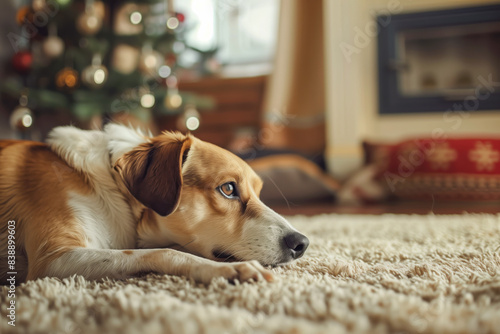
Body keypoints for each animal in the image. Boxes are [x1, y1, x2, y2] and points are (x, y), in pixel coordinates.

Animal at [0, 124, 308, 286]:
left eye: (259, 193)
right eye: (228, 189)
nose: (302, 243)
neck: (114, 190)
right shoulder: (52, 259)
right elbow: (164, 252)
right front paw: (226, 270)